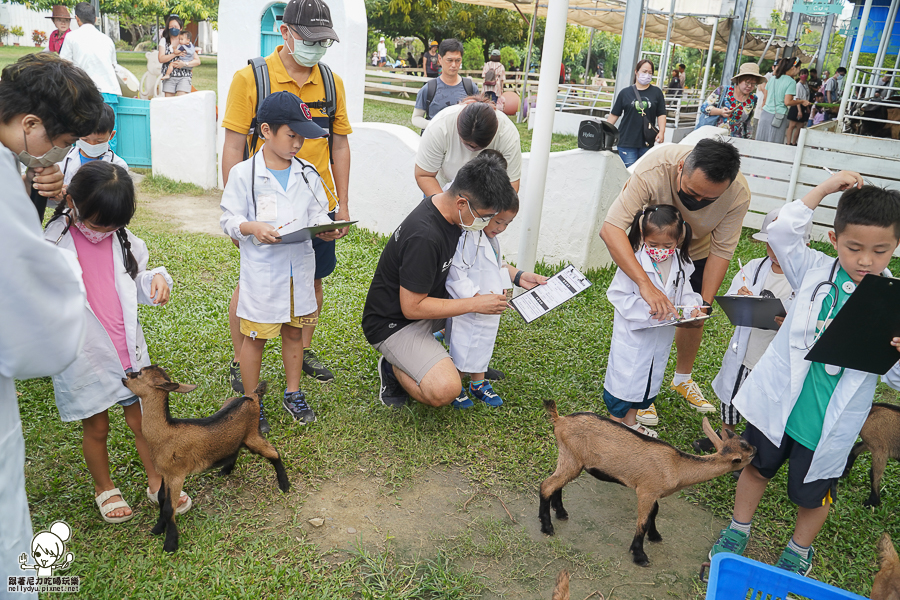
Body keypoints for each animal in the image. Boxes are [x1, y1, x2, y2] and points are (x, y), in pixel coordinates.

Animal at [122, 364, 288, 552]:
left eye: (139, 373)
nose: (126, 374)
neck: (166, 431)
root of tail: (251, 397)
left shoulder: (177, 475)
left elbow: (169, 508)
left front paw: (170, 544)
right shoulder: (165, 473)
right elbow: (162, 499)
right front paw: (157, 528)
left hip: (252, 435)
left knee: (274, 452)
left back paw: (284, 484)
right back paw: (225, 470)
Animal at [540, 400, 752, 564]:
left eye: (744, 443)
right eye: (746, 454)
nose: (757, 449)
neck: (677, 466)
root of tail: (560, 419)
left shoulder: (653, 492)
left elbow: (654, 513)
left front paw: (655, 536)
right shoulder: (646, 491)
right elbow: (642, 521)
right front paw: (640, 555)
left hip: (570, 457)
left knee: (557, 483)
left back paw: (560, 512)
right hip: (572, 458)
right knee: (547, 485)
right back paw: (547, 527)